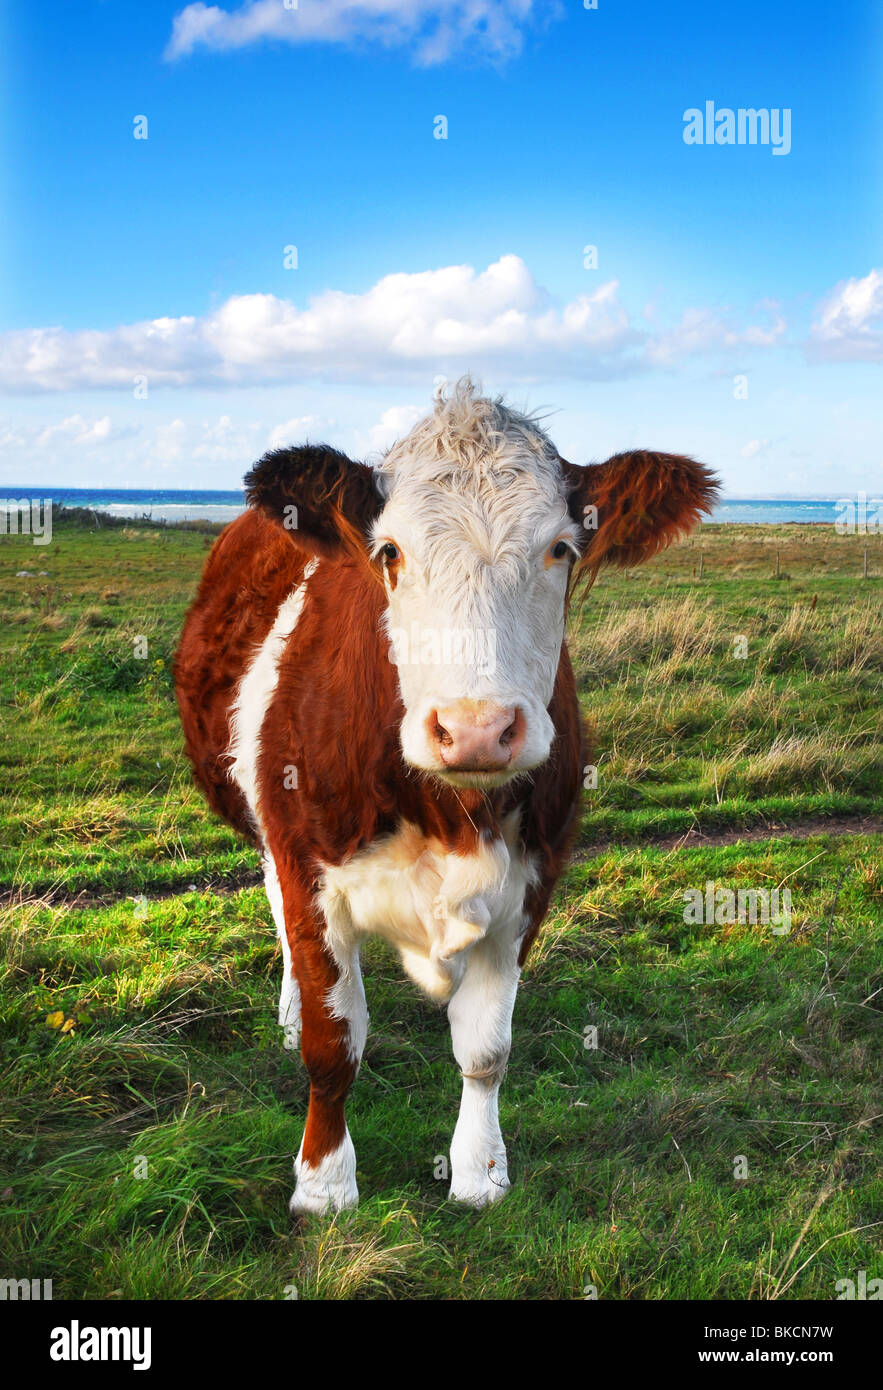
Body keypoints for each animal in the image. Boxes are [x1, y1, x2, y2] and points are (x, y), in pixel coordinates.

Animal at [174, 378, 717, 1214]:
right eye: (389, 551)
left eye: (560, 548)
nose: (475, 730)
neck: (450, 813)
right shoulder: (309, 869)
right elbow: (333, 1045)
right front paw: (324, 1183)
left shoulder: (529, 881)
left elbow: (486, 1047)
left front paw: (479, 1171)